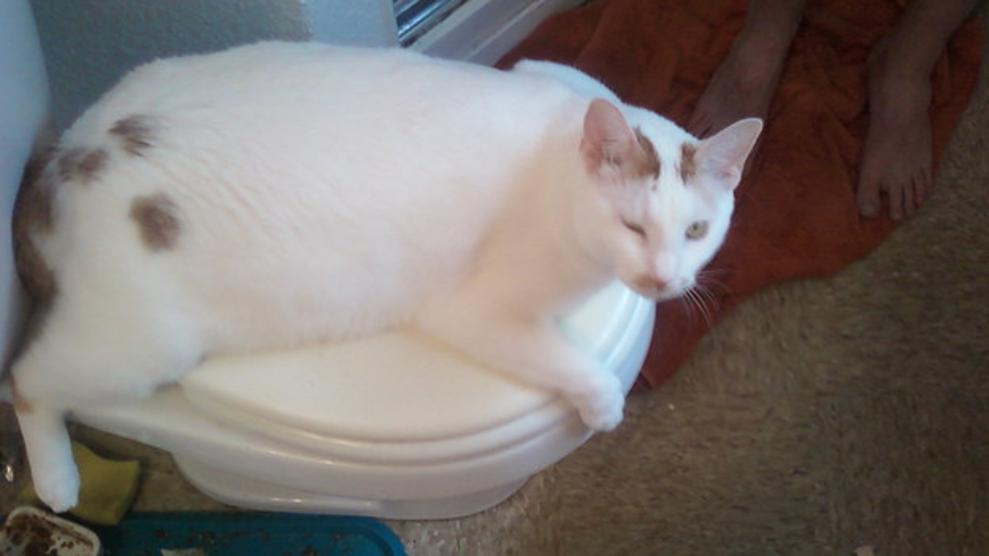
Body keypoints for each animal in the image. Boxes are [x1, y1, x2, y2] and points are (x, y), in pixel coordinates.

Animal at [8, 41, 761, 512]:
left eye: (696, 231)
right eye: (632, 227)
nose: (663, 281)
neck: (552, 162)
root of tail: (65, 156)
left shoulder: (557, 70)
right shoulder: (473, 311)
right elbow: (577, 366)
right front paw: (603, 405)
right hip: (142, 346)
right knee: (25, 379)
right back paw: (57, 483)